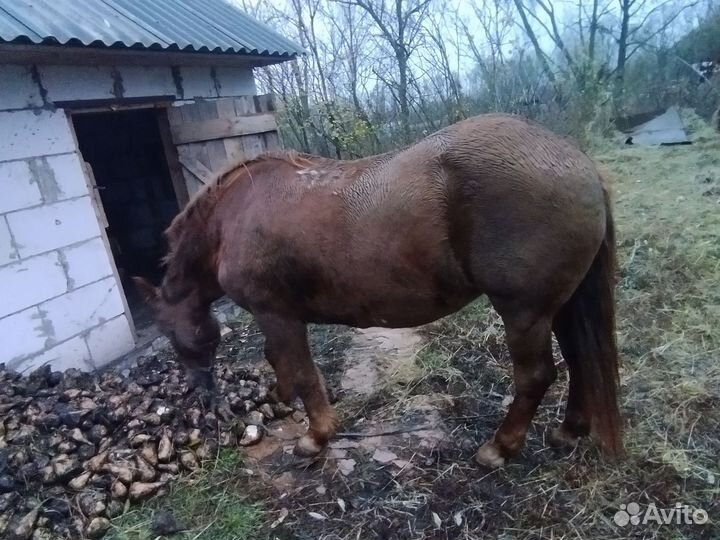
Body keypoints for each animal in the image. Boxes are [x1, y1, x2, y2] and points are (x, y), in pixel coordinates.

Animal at [134, 113, 622, 468]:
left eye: (170, 334)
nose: (201, 391)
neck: (231, 218)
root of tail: (577, 162)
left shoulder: (277, 315)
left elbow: (304, 374)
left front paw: (315, 438)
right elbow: (285, 366)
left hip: (524, 312)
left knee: (536, 376)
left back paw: (499, 448)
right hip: (560, 305)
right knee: (579, 360)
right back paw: (568, 431)